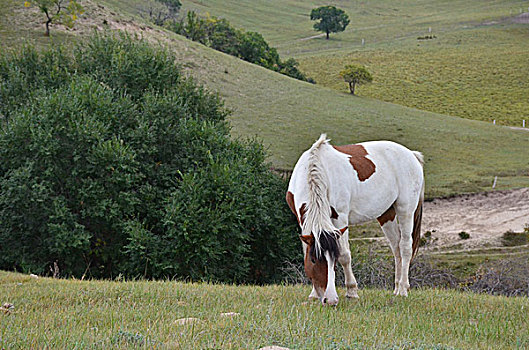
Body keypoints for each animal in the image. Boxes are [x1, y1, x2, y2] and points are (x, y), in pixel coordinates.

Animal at [284, 135, 424, 304]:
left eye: (333, 260)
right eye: (313, 260)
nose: (330, 299)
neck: (318, 170)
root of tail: (412, 155)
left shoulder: (340, 218)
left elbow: (345, 255)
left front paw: (352, 291)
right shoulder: (302, 221)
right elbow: (306, 249)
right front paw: (314, 294)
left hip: (405, 210)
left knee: (405, 247)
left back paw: (403, 288)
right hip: (386, 214)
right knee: (396, 247)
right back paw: (396, 288)